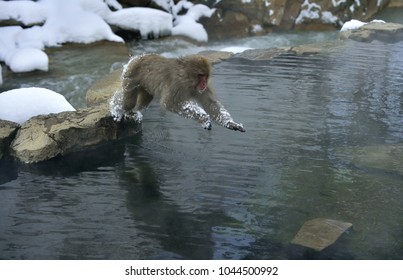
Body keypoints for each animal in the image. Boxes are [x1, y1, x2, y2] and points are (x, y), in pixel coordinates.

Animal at [113, 53, 246, 132]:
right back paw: (119, 108)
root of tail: (137, 57)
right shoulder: (176, 85)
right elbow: (169, 103)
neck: (187, 80)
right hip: (130, 76)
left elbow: (211, 104)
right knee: (128, 101)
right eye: (200, 75)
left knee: (144, 102)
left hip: (144, 86)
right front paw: (203, 118)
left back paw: (134, 111)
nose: (203, 83)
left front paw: (230, 123)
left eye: (205, 76)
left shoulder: (204, 88)